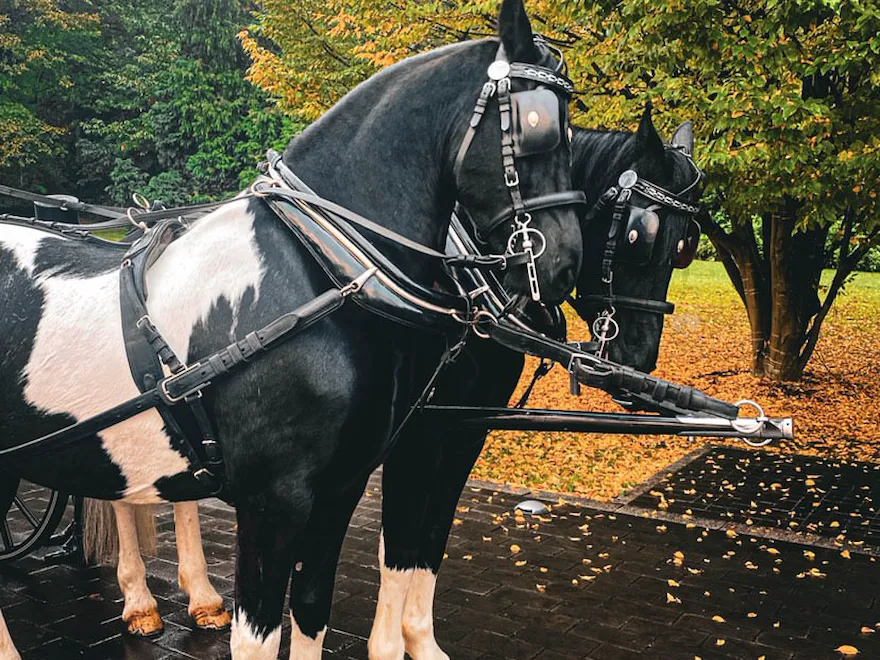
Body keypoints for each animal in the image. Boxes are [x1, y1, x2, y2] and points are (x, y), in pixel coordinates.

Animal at [0, 1, 583, 658]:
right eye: (536, 125)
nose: (564, 263)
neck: (322, 271)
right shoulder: (274, 504)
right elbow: (262, 632)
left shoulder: (340, 491)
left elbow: (313, 611)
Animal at [371, 109, 706, 659]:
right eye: (639, 235)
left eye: (686, 246)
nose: (639, 358)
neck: (465, 278)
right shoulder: (416, 430)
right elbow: (399, 539)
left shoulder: (464, 428)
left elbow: (430, 532)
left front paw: (419, 638)